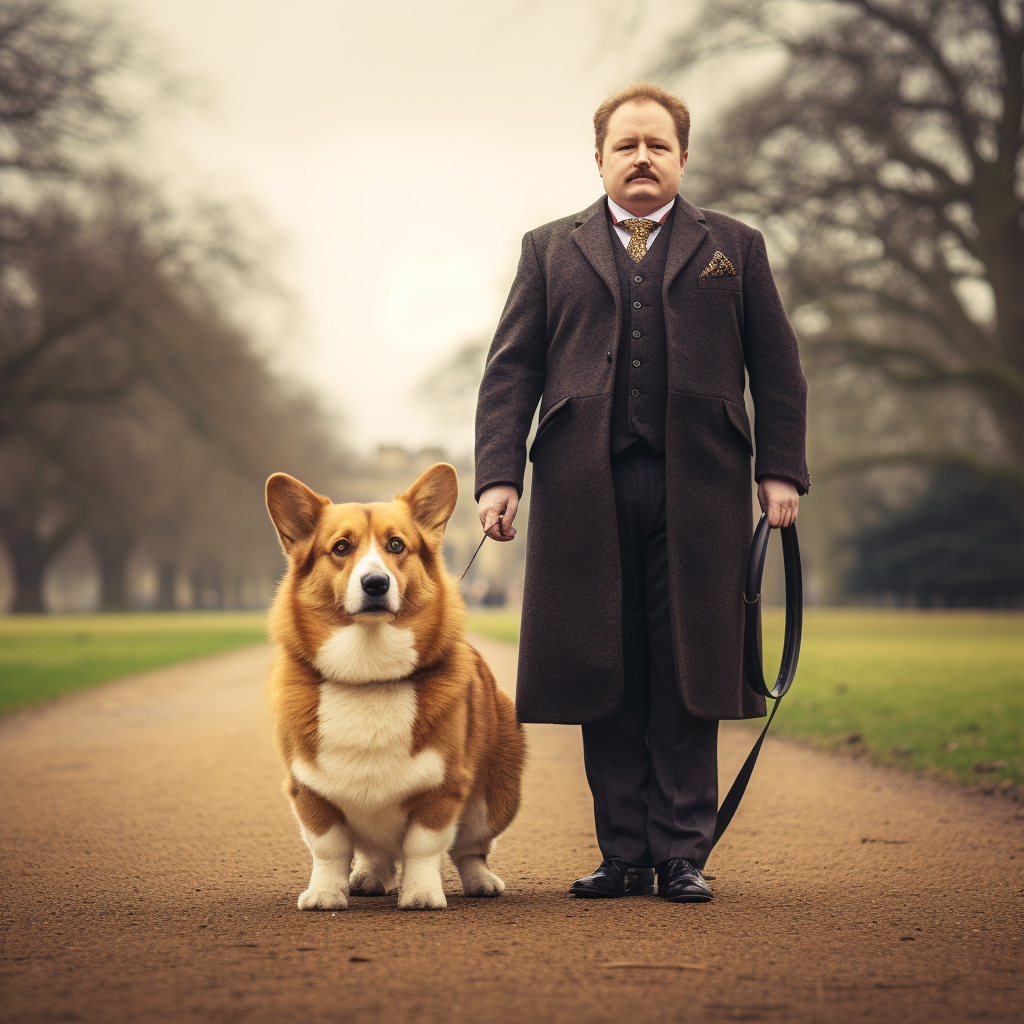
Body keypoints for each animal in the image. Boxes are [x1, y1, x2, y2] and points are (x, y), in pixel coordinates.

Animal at [264, 464, 524, 913]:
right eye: (341, 547)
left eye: (396, 544)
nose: (375, 583)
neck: (368, 673)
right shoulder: (308, 789)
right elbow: (329, 848)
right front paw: (325, 893)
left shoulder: (443, 788)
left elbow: (423, 846)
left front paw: (421, 894)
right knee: (375, 852)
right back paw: (368, 876)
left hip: (494, 801)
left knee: (469, 849)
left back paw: (481, 880)